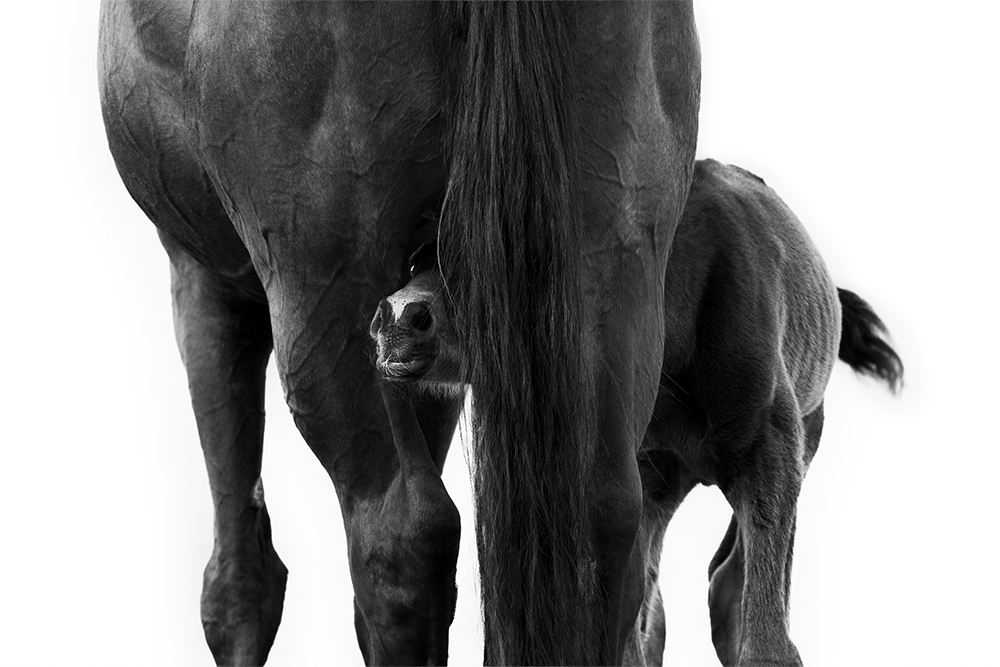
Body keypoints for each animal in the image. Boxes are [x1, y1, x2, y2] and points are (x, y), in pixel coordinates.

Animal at [99, 1, 702, 664]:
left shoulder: (204, 273)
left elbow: (238, 586)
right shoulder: (427, 329)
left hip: (327, 289)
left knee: (400, 540)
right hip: (614, 258)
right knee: (603, 521)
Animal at [370, 158, 905, 666]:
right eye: (415, 261)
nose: (399, 318)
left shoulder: (770, 444)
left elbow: (764, 616)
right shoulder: (638, 472)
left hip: (805, 429)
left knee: (729, 580)